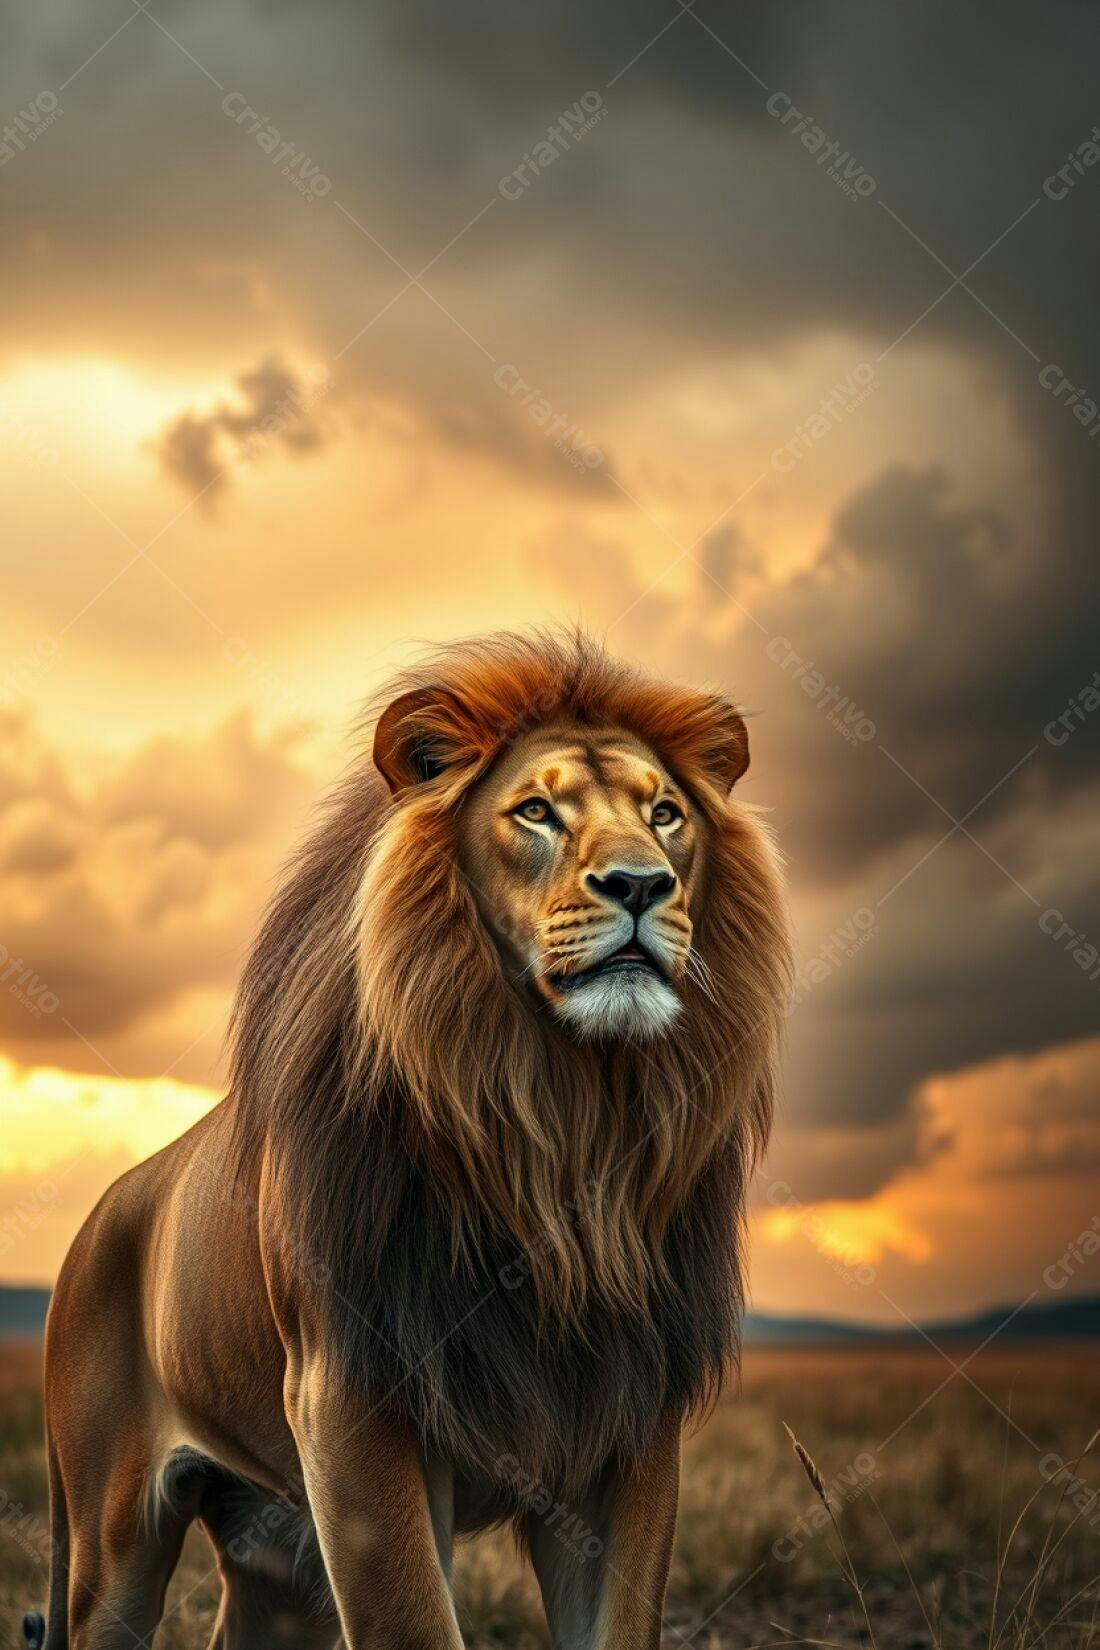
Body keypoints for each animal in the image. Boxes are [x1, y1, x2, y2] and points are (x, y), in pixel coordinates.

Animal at [27, 630, 791, 1650]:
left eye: (665, 814)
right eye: (536, 811)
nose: (641, 884)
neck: (562, 1123)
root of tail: (103, 1210)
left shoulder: (629, 1426)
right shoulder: (351, 1402)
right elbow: (414, 1624)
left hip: (280, 1556)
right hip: (112, 1537)